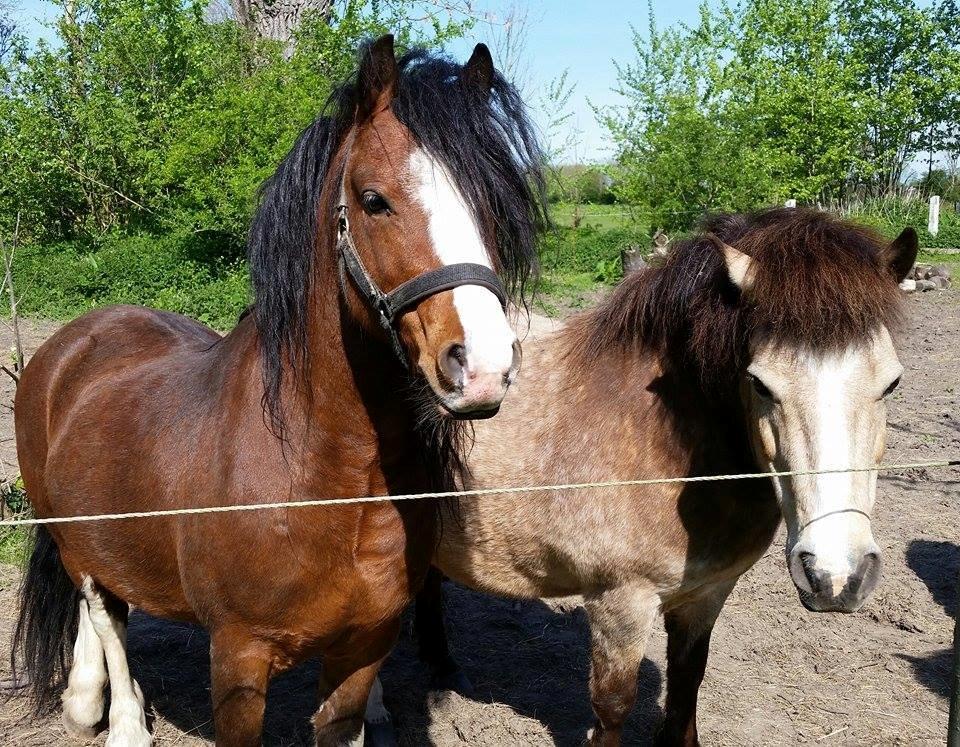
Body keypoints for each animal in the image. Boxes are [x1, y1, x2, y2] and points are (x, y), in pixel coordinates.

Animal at [13, 36, 548, 747]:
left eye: (491, 203)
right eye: (374, 199)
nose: (484, 367)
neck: (326, 475)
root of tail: (70, 344)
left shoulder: (362, 648)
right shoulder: (238, 658)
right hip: (73, 540)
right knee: (105, 612)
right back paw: (120, 718)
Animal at [410, 209, 916, 747]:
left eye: (892, 382)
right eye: (759, 384)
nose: (835, 576)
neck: (660, 441)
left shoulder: (707, 594)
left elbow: (687, 685)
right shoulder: (620, 603)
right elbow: (612, 706)